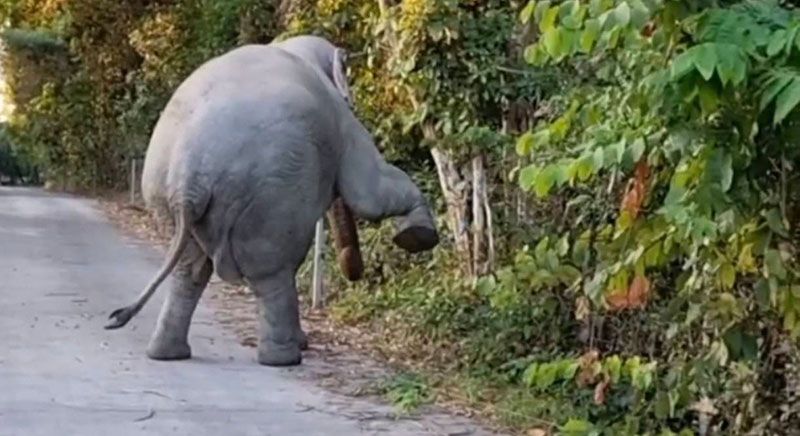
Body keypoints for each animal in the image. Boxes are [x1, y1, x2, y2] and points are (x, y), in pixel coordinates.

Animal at [105, 36, 439, 367]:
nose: (355, 272)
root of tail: (189, 175)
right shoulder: (342, 120)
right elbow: (368, 190)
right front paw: (419, 236)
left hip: (165, 196)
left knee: (189, 270)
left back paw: (168, 354)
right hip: (269, 193)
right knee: (272, 270)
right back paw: (283, 358)